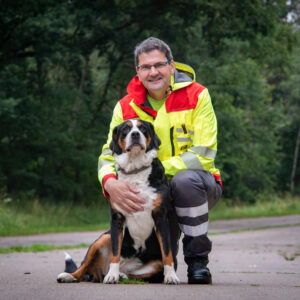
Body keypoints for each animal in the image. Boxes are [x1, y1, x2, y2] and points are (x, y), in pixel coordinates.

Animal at [57, 119, 179, 284]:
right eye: (125, 130)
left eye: (143, 129)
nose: (135, 134)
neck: (135, 170)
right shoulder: (117, 219)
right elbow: (115, 252)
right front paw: (112, 276)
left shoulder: (161, 217)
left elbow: (167, 252)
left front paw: (171, 276)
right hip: (103, 238)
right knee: (84, 267)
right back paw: (72, 275)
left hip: (153, 264)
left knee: (137, 276)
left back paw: (123, 275)